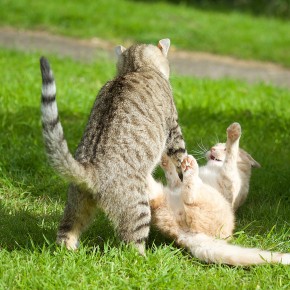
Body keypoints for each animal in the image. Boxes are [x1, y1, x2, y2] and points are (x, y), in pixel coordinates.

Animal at [39, 38, 187, 254]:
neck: (136, 68)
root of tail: (91, 169)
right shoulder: (173, 127)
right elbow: (180, 153)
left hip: (76, 202)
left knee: (66, 231)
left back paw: (69, 251)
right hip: (138, 206)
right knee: (132, 244)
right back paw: (146, 257)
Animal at [150, 122, 290, 266]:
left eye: (224, 148)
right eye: (215, 146)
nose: (212, 149)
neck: (214, 168)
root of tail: (184, 236)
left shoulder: (228, 181)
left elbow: (230, 159)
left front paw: (234, 132)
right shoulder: (176, 185)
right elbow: (172, 173)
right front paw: (164, 157)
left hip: (207, 197)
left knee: (190, 196)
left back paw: (190, 165)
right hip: (163, 195)